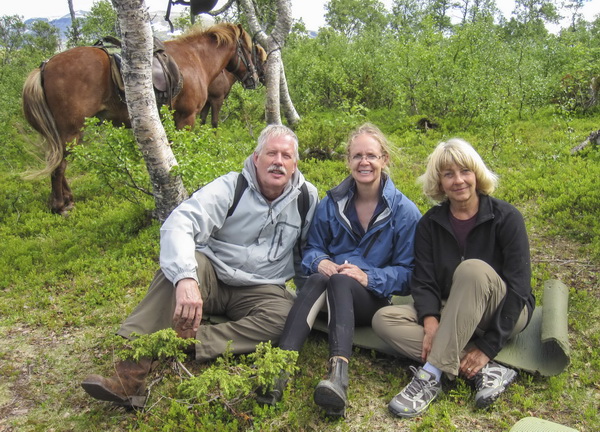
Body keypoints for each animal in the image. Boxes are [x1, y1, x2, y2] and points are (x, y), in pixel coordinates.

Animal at [22, 23, 260, 215]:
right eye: (248, 50)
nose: (254, 79)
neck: (196, 59)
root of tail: (45, 66)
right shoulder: (186, 118)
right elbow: (181, 156)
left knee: (58, 163)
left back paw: (67, 198)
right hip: (72, 131)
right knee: (59, 166)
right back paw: (60, 205)